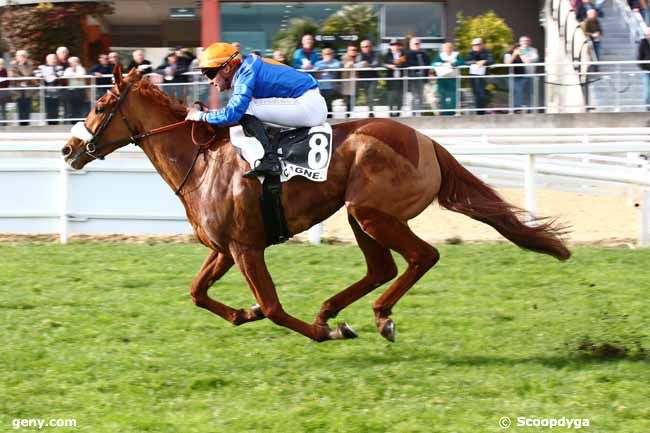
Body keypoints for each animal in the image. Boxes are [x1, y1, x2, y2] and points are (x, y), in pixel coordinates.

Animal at [62, 66, 568, 340]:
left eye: (101, 105)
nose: (69, 148)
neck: (201, 161)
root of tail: (426, 141)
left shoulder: (247, 247)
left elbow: (273, 307)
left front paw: (320, 332)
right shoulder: (224, 249)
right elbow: (197, 292)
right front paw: (243, 314)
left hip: (372, 211)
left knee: (422, 256)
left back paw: (375, 317)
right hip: (360, 214)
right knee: (382, 267)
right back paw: (335, 311)